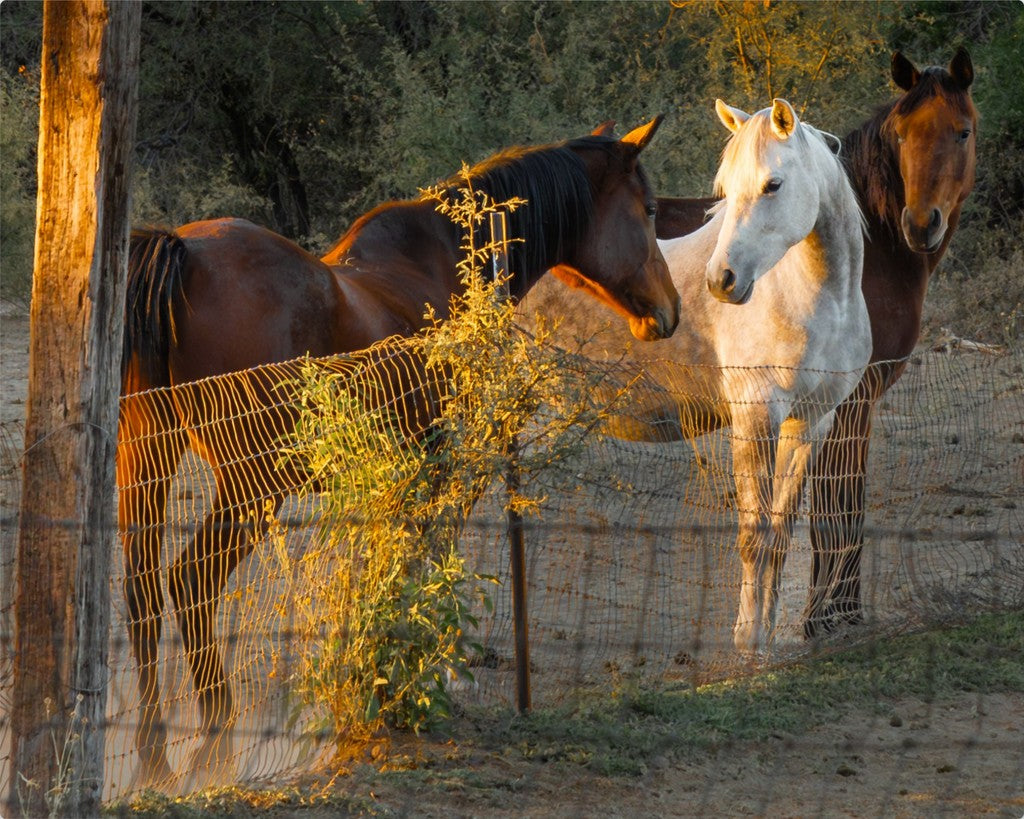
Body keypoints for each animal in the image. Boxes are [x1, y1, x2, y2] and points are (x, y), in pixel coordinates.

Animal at [117, 118, 679, 782]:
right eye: (648, 210)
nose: (671, 310)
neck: (454, 263)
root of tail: (181, 250)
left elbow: (389, 561)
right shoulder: (445, 465)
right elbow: (424, 561)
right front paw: (423, 671)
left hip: (147, 463)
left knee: (143, 591)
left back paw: (153, 756)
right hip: (252, 484)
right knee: (191, 582)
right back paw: (215, 745)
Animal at [520, 100, 872, 651]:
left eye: (773, 185)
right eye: (725, 190)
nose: (721, 282)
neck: (817, 300)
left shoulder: (811, 424)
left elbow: (779, 533)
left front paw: (767, 635)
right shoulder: (754, 418)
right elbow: (753, 535)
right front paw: (747, 641)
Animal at [651, 49, 978, 638]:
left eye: (961, 131)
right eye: (901, 134)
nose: (921, 226)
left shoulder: (828, 405)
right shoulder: (854, 398)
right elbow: (840, 510)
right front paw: (833, 616)